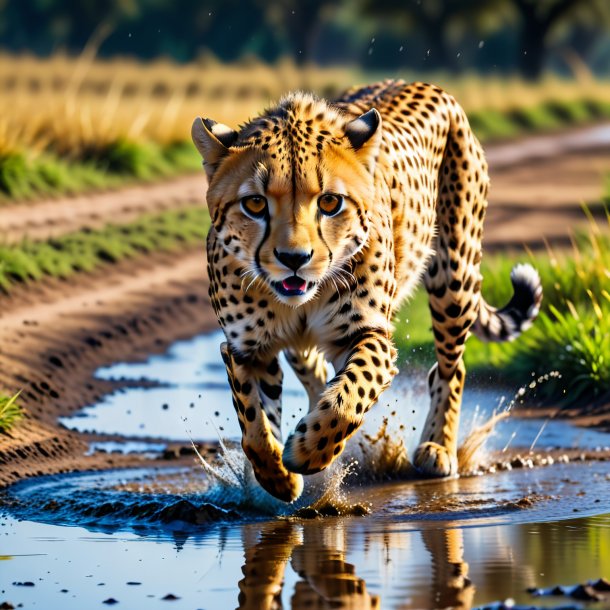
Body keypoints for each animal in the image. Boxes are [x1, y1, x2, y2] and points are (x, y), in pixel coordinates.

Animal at [191, 79, 540, 498]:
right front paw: (275, 477)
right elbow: (254, 421)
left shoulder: (368, 334)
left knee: (450, 368)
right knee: (314, 370)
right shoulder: (248, 348)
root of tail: (424, 84)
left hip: (455, 275)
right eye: (255, 204)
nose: (294, 258)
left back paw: (438, 447)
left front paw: (308, 451)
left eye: (329, 202)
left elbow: (349, 397)